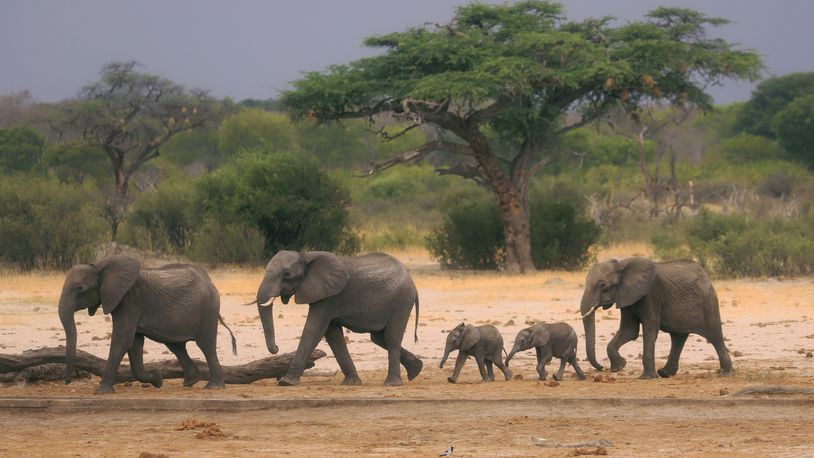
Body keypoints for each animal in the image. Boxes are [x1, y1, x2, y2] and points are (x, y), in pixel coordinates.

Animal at [56, 254, 236, 394]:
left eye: (80, 288)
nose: (68, 382)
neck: (100, 266)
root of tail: (210, 281)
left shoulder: (130, 299)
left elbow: (122, 340)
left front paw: (101, 392)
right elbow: (134, 343)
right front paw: (157, 379)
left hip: (208, 309)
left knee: (206, 345)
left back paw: (214, 387)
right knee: (176, 345)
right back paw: (190, 382)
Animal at [252, 250, 424, 386]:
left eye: (287, 275)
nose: (276, 348)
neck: (306, 256)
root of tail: (412, 281)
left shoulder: (330, 297)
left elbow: (314, 328)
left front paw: (286, 382)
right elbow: (332, 334)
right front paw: (351, 383)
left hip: (401, 301)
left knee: (391, 337)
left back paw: (392, 383)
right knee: (379, 338)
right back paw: (416, 370)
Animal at [580, 258, 732, 380]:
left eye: (602, 285)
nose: (601, 368)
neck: (622, 265)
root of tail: (705, 274)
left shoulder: (651, 294)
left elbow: (649, 327)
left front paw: (647, 378)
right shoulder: (626, 296)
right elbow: (629, 331)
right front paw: (620, 366)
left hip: (708, 302)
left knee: (715, 336)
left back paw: (726, 373)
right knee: (678, 337)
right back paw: (665, 373)